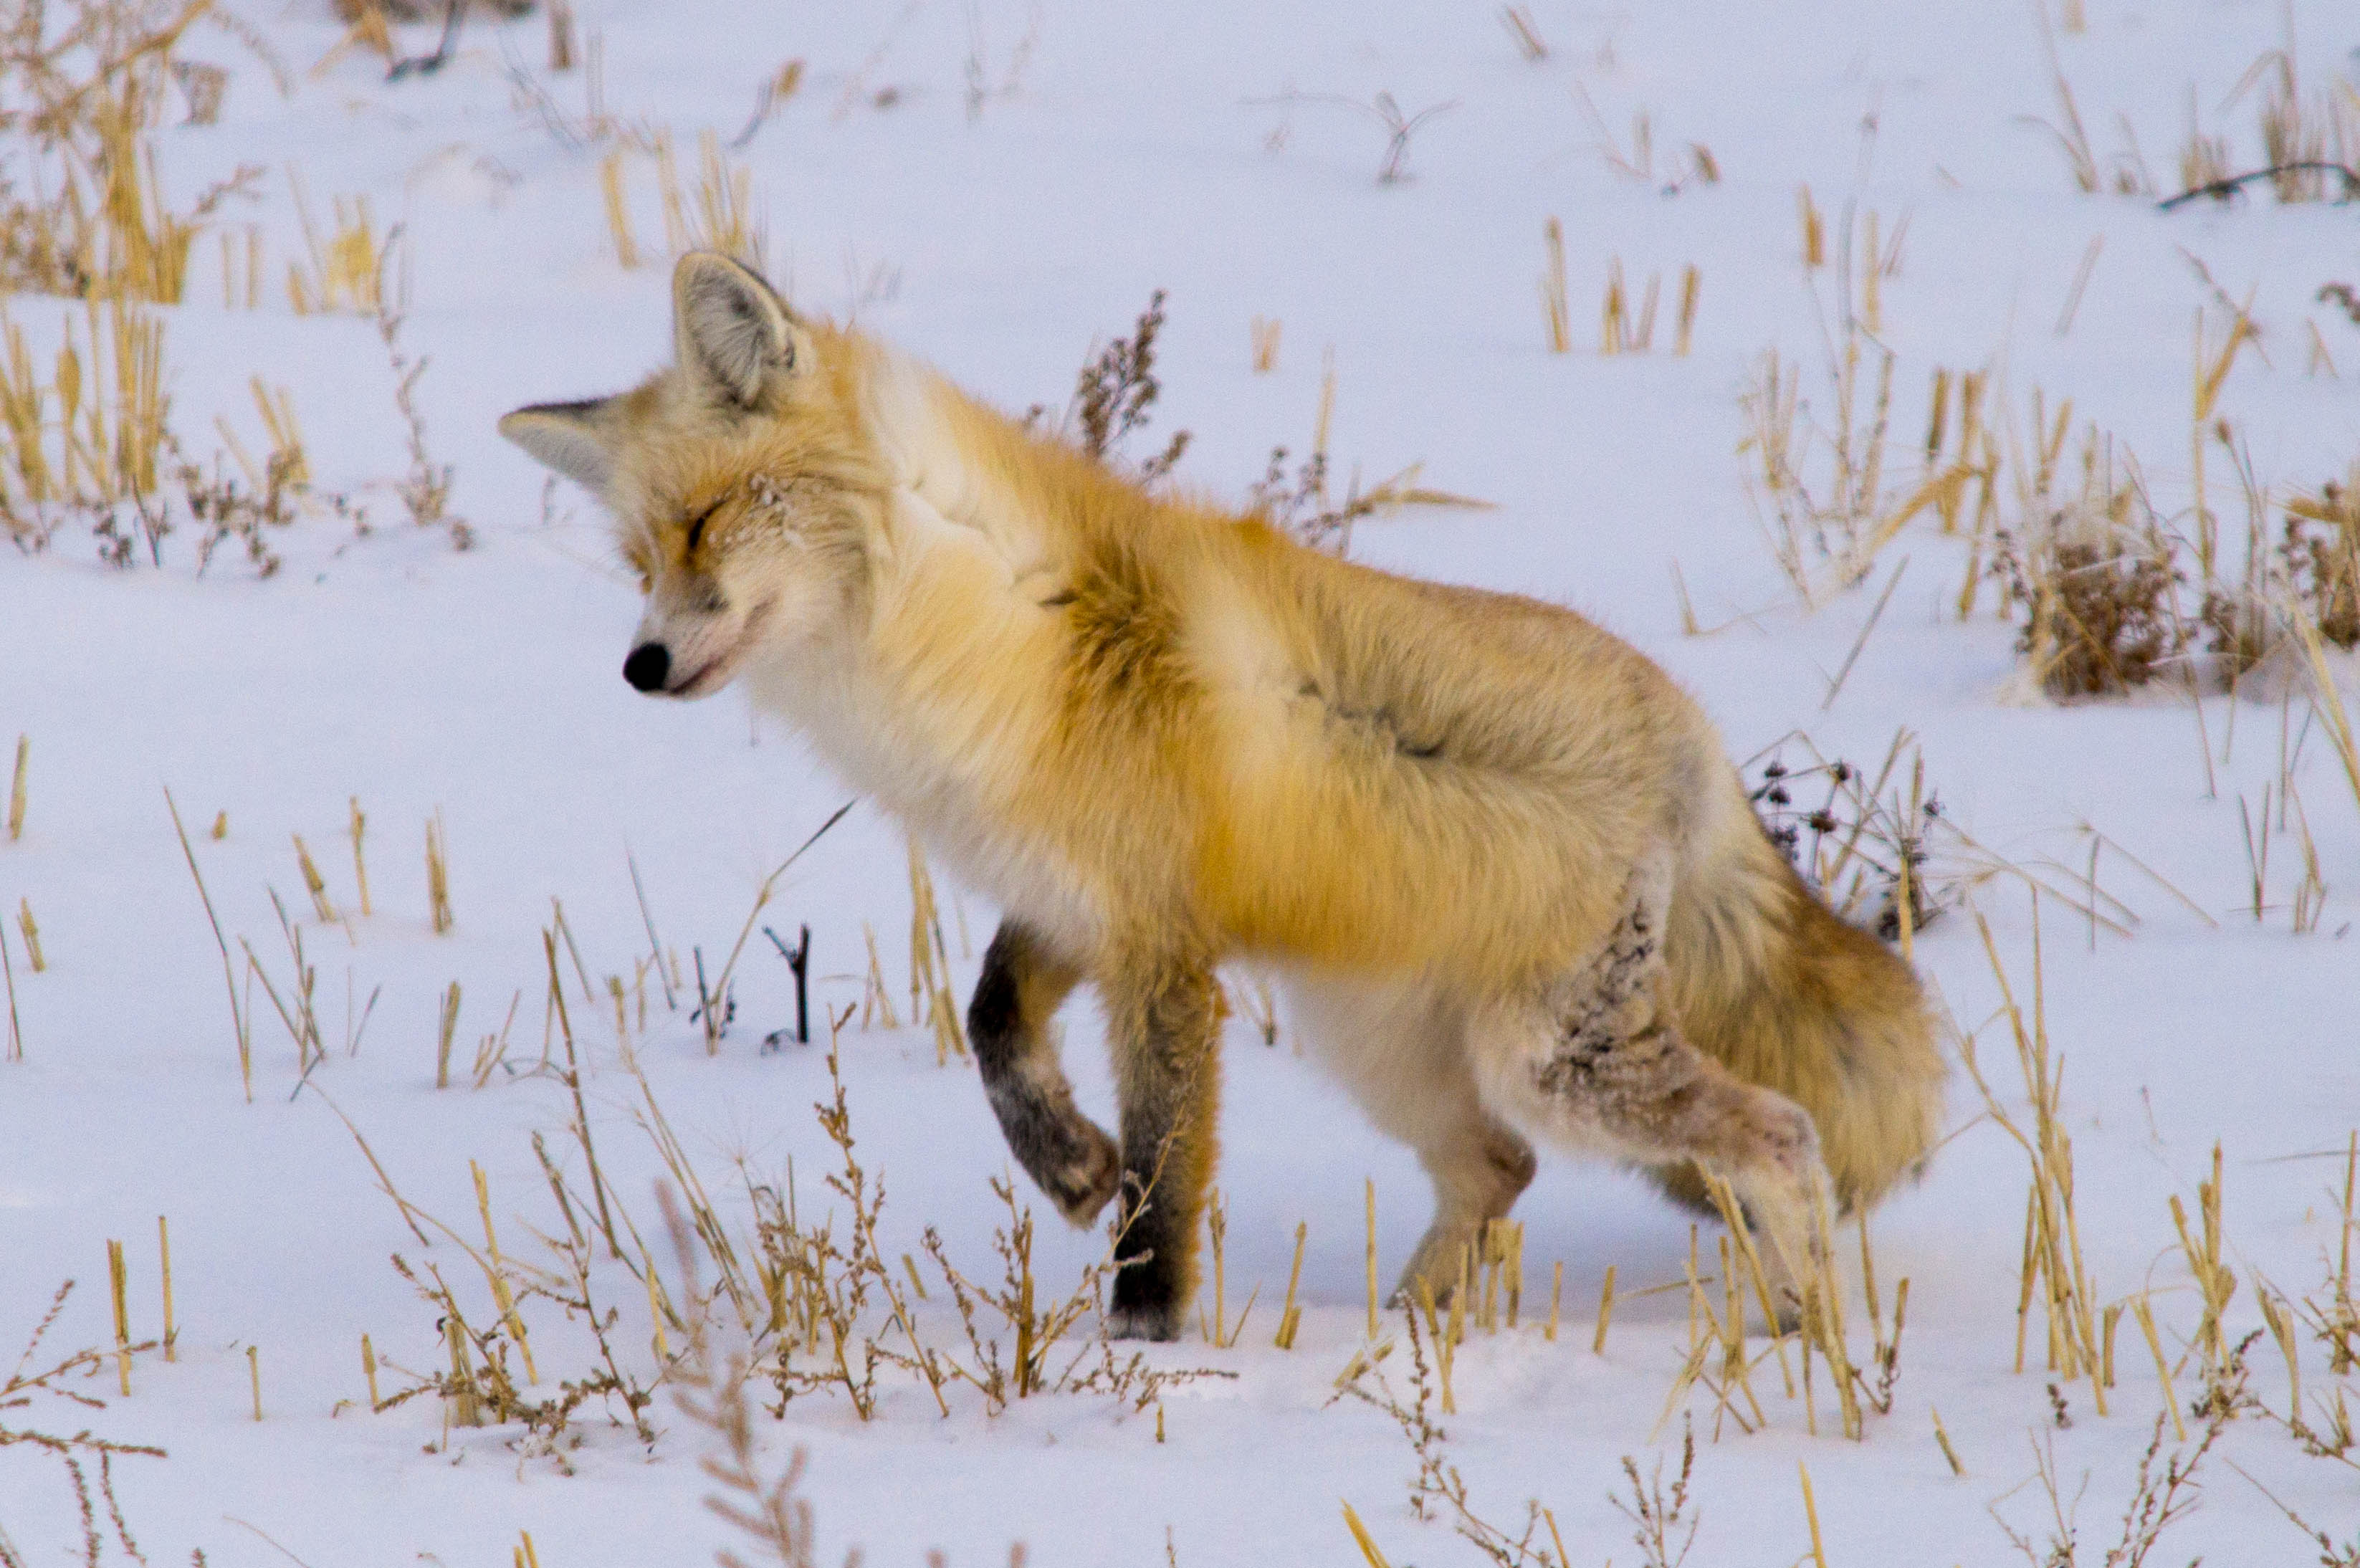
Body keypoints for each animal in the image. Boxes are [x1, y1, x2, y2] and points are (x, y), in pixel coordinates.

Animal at [500, 252, 1946, 1341]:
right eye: (636, 559)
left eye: (707, 523)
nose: (641, 666)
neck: (996, 639)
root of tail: (1691, 732)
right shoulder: (1069, 902)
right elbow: (993, 1032)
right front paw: (1066, 1164)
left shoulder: (1162, 951)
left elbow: (1165, 1174)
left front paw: (1142, 1344)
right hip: (1391, 1050)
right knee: (1503, 1165)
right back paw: (1410, 1337)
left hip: (1549, 1062)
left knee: (1775, 1132)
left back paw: (1807, 1335)